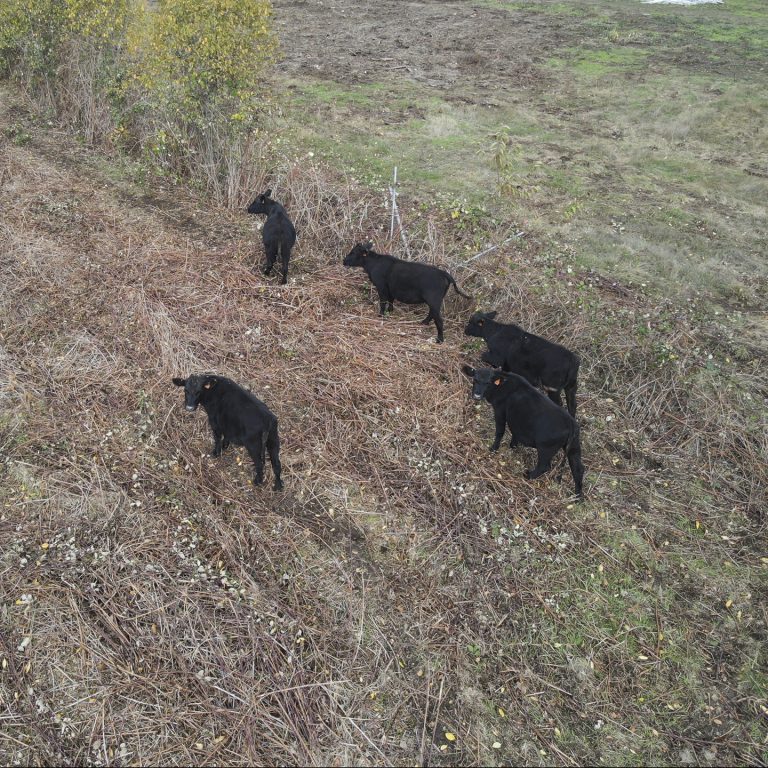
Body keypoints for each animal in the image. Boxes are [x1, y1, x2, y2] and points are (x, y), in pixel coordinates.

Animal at [340, 242, 472, 344]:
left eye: (353, 252)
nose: (344, 261)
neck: (374, 263)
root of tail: (444, 274)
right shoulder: (391, 288)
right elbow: (391, 300)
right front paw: (390, 311)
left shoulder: (381, 286)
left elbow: (383, 301)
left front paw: (381, 315)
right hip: (434, 300)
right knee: (432, 313)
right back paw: (423, 322)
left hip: (434, 299)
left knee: (439, 320)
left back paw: (439, 340)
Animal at [462, 364, 584, 500]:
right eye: (475, 379)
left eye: (488, 382)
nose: (477, 395)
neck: (504, 384)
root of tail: (571, 423)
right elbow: (515, 432)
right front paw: (513, 446)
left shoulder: (500, 411)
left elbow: (500, 431)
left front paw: (493, 448)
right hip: (574, 448)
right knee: (578, 469)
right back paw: (577, 496)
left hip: (545, 448)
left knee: (544, 466)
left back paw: (528, 475)